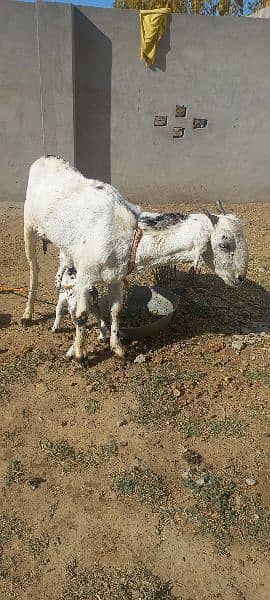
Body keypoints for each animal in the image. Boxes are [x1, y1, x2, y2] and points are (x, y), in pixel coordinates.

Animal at [22, 156, 248, 366]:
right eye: (224, 244)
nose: (240, 277)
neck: (129, 234)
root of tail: (44, 159)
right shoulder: (85, 275)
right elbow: (82, 315)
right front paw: (80, 355)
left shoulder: (115, 277)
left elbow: (115, 311)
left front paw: (118, 349)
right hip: (28, 225)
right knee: (34, 269)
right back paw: (28, 314)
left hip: (66, 247)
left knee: (60, 273)